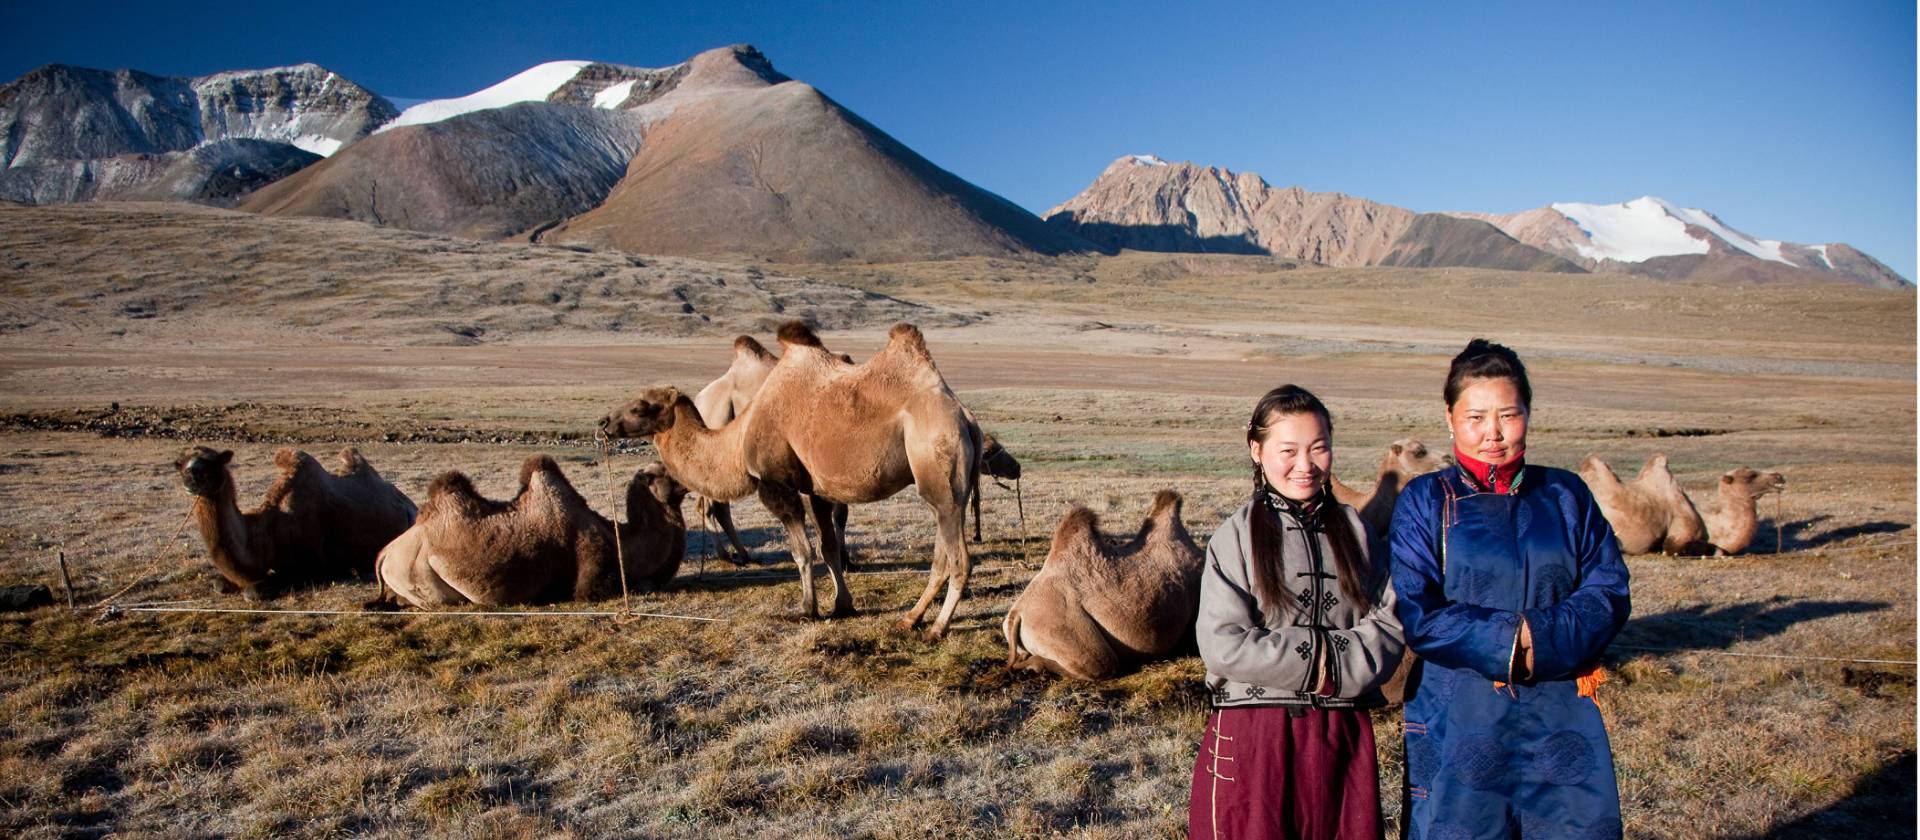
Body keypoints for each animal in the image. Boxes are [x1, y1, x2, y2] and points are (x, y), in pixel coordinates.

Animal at [173, 445, 415, 600]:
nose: (190, 480)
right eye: (181, 464)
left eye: (210, 464)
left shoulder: (312, 569)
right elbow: (218, 584)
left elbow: (252, 592)